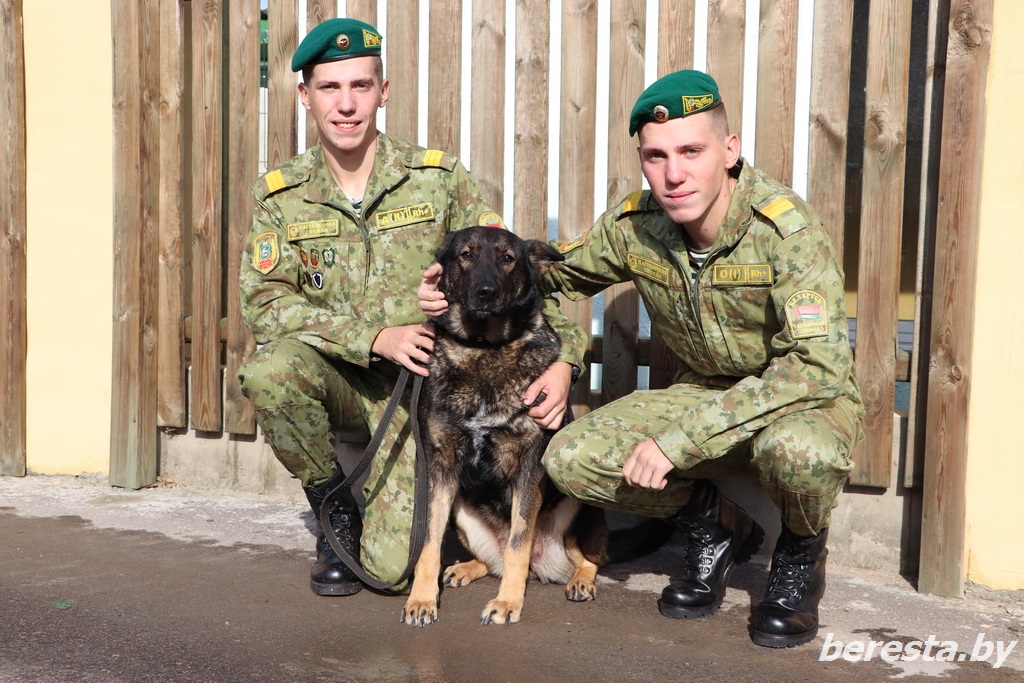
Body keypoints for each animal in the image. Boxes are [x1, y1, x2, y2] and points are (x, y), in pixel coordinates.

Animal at [399, 227, 606, 626]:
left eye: (508, 258)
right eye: (466, 255)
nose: (486, 292)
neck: (484, 346)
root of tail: (543, 566)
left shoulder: (529, 469)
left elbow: (517, 543)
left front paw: (508, 602)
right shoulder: (440, 468)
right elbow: (429, 544)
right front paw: (422, 599)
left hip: (576, 506)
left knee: (589, 559)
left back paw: (580, 581)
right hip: (460, 510)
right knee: (490, 561)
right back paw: (464, 568)